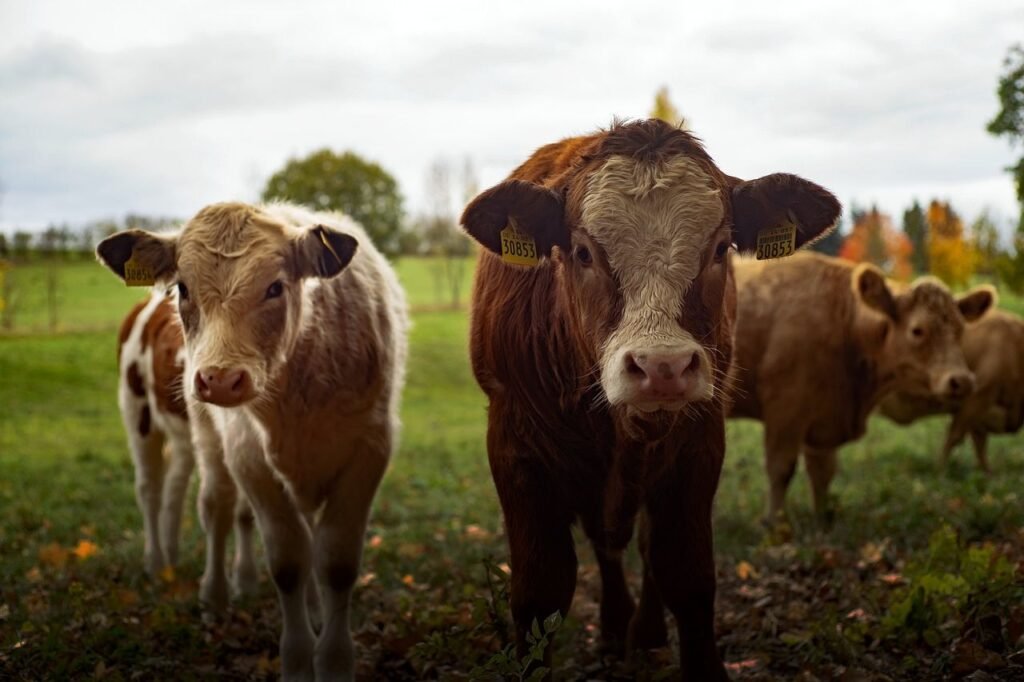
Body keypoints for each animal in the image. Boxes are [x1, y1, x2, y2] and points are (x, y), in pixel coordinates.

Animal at [116, 291, 259, 599]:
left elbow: (246, 511)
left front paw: (246, 581)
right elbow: (217, 504)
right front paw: (215, 592)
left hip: (183, 436)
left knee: (175, 484)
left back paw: (170, 558)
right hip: (138, 410)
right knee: (149, 488)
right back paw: (155, 562)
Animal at [460, 118, 840, 679]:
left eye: (721, 248)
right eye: (583, 252)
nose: (663, 367)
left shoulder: (698, 445)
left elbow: (685, 573)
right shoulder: (515, 450)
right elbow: (540, 592)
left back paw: (644, 632)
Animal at [727, 252, 994, 525]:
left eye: (960, 330)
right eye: (917, 330)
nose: (962, 380)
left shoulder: (824, 421)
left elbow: (823, 473)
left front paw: (822, 520)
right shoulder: (785, 411)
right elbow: (781, 469)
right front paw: (774, 524)